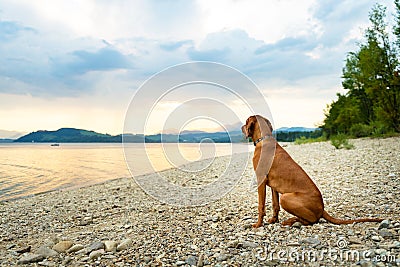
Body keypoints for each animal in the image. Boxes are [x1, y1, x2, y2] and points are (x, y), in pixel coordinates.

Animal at [242, 115, 382, 228]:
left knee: (312, 220)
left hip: (286, 198)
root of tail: (322, 208)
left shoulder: (261, 180)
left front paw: (258, 224)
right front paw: (273, 220)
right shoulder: (273, 186)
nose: (242, 126)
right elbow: (275, 205)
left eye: (246, 121)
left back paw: (292, 220)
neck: (264, 139)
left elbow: (261, 206)